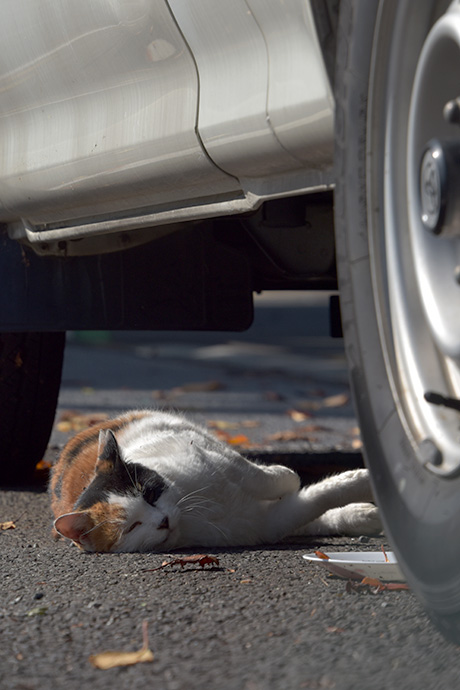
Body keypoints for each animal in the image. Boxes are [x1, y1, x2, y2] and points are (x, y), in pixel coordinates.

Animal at [49, 406, 380, 552]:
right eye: (132, 526)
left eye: (150, 494)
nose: (163, 521)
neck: (195, 510)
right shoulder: (266, 523)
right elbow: (313, 500)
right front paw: (363, 483)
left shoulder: (209, 455)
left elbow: (259, 476)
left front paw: (286, 476)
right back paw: (363, 515)